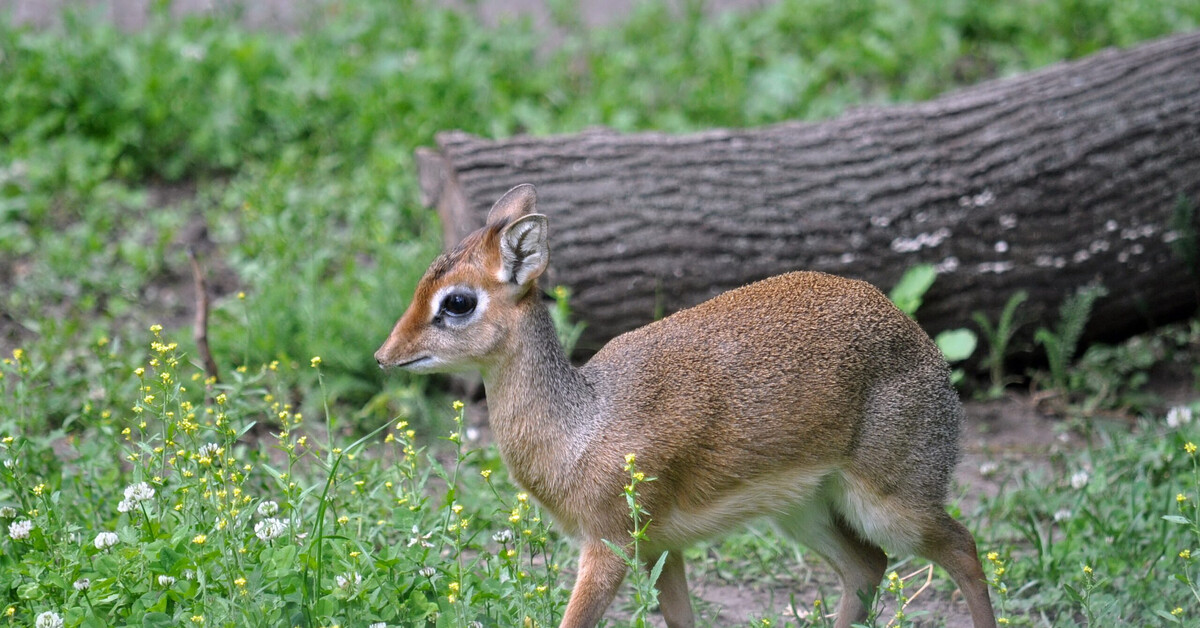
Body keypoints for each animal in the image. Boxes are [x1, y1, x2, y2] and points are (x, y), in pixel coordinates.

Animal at [374, 184, 993, 624]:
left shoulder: (609, 546)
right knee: (868, 568)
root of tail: (918, 339)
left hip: (891, 502)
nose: (385, 355)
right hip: (805, 510)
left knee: (962, 547)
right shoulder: (660, 549)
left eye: (458, 301)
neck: (582, 423)